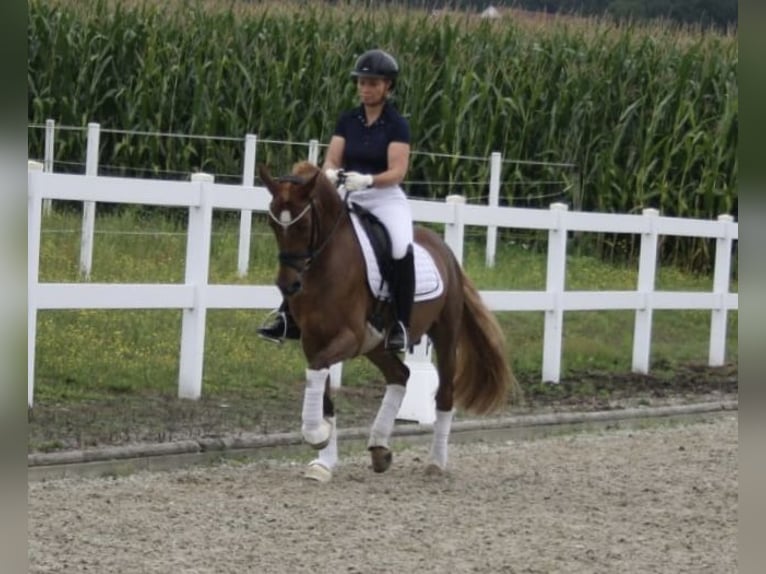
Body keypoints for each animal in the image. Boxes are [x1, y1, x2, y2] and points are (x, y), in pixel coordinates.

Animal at [260, 163, 520, 486]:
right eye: (273, 224)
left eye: (303, 225)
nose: (288, 285)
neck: (324, 266)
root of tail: (445, 250)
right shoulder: (313, 340)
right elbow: (322, 389)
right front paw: (323, 459)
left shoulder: (350, 336)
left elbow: (318, 373)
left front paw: (316, 434)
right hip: (376, 345)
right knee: (400, 375)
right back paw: (379, 448)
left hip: (444, 334)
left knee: (444, 394)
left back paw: (435, 462)